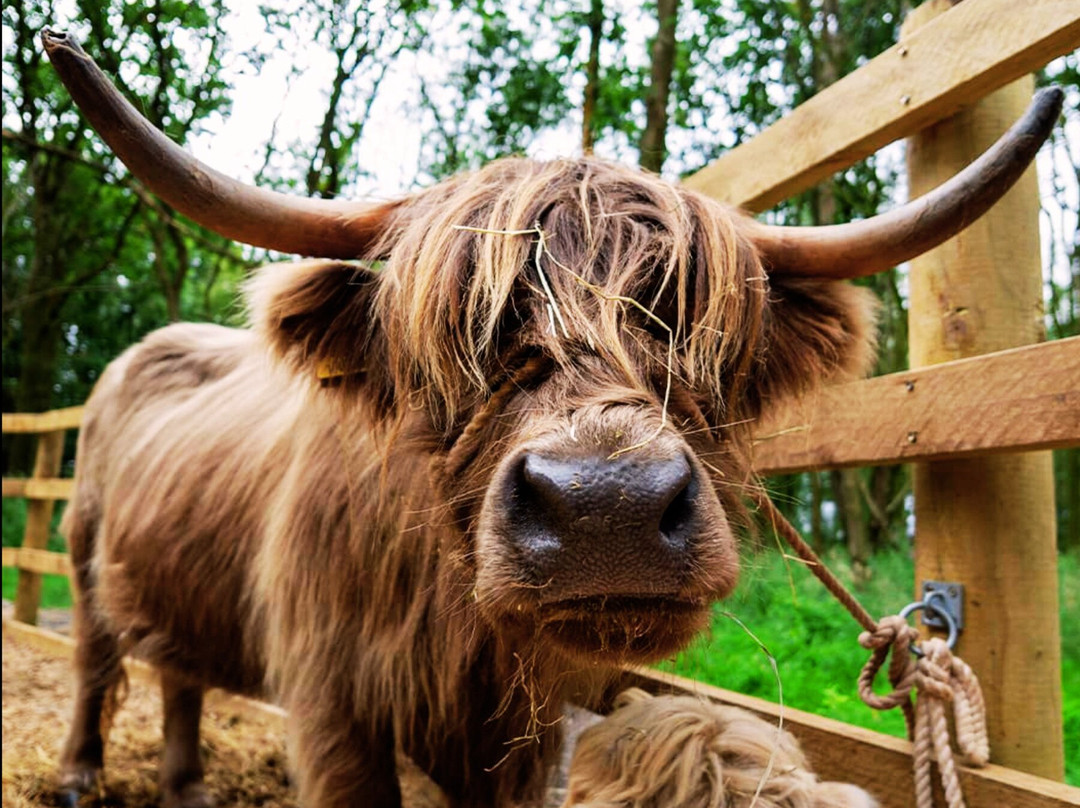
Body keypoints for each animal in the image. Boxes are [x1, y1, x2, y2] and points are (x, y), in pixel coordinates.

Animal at [41, 30, 1060, 808]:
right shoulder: (335, 698)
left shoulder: (512, 737)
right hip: (86, 555)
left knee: (177, 672)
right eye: (467, 332)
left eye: (689, 326)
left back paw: (186, 787)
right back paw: (80, 777)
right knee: (96, 662)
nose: (608, 510)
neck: (463, 635)